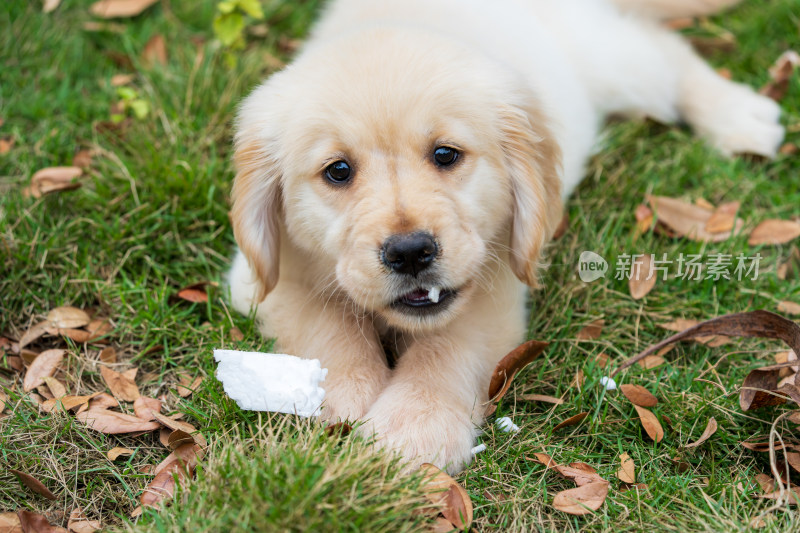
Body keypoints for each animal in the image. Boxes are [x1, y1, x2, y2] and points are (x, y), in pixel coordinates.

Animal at [228, 0, 784, 472]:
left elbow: (446, 348)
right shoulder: (262, 277)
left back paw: (742, 116)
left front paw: (412, 430)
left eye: (446, 154)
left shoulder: (496, 281)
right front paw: (345, 393)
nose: (410, 253)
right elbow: (328, 321)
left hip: (609, 59)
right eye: (338, 171)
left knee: (663, 52)